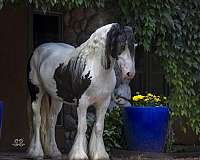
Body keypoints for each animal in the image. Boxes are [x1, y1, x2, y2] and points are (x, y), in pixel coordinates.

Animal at [27, 23, 136, 159]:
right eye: (121, 45)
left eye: (133, 46)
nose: (130, 73)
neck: (96, 69)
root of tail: (38, 50)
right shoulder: (82, 103)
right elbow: (82, 127)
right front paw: (79, 155)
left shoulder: (103, 103)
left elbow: (99, 127)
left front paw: (100, 154)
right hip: (37, 92)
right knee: (37, 119)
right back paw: (36, 152)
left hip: (57, 99)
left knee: (51, 121)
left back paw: (54, 152)